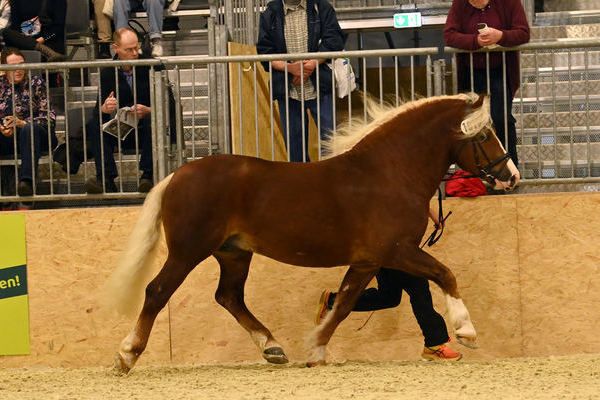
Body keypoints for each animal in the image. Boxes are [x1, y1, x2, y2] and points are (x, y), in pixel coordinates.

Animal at [105, 92, 516, 374]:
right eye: (485, 134)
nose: (511, 176)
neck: (388, 173)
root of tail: (176, 175)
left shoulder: (369, 261)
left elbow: (344, 303)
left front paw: (316, 349)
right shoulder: (395, 251)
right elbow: (445, 274)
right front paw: (467, 332)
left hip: (234, 253)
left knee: (229, 297)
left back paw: (273, 349)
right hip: (188, 251)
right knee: (157, 291)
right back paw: (126, 356)